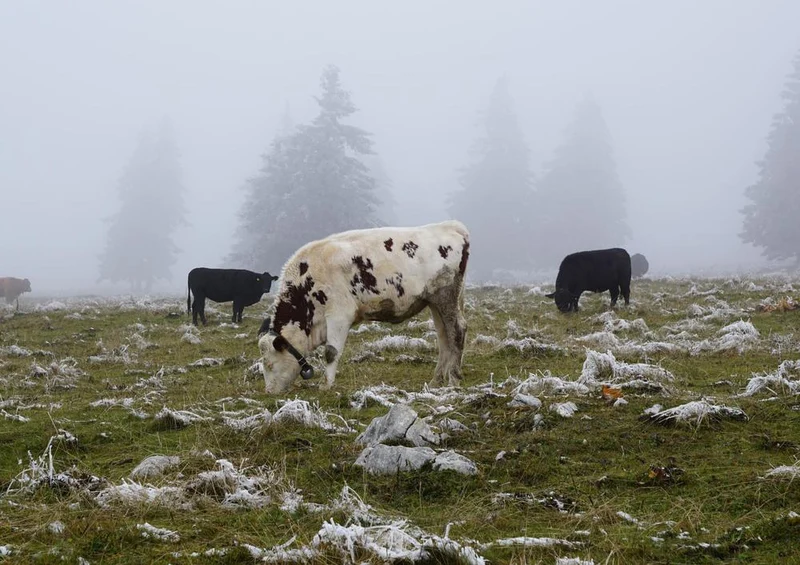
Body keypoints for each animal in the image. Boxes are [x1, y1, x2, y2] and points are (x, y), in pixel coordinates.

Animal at [257, 220, 470, 394]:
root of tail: (451, 226)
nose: (268, 391)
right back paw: (436, 380)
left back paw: (453, 379)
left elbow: (331, 352)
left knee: (457, 330)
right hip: (435, 302)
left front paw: (326, 385)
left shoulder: (339, 314)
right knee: (443, 336)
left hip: (446, 296)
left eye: (269, 364)